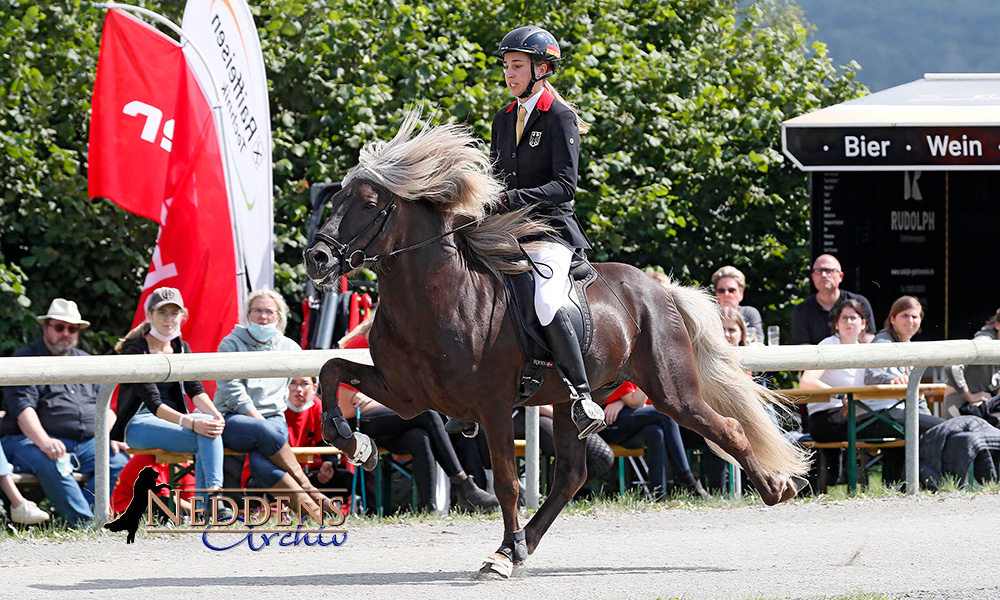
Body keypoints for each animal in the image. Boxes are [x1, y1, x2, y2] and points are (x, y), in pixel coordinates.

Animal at [300, 113, 808, 580]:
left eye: (368, 203)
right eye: (337, 199)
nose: (317, 258)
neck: (435, 299)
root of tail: (659, 289)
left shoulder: (492, 405)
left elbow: (507, 482)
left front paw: (500, 556)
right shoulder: (406, 395)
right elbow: (330, 370)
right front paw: (353, 441)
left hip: (671, 390)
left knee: (728, 429)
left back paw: (775, 488)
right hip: (572, 400)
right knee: (570, 474)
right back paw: (519, 545)